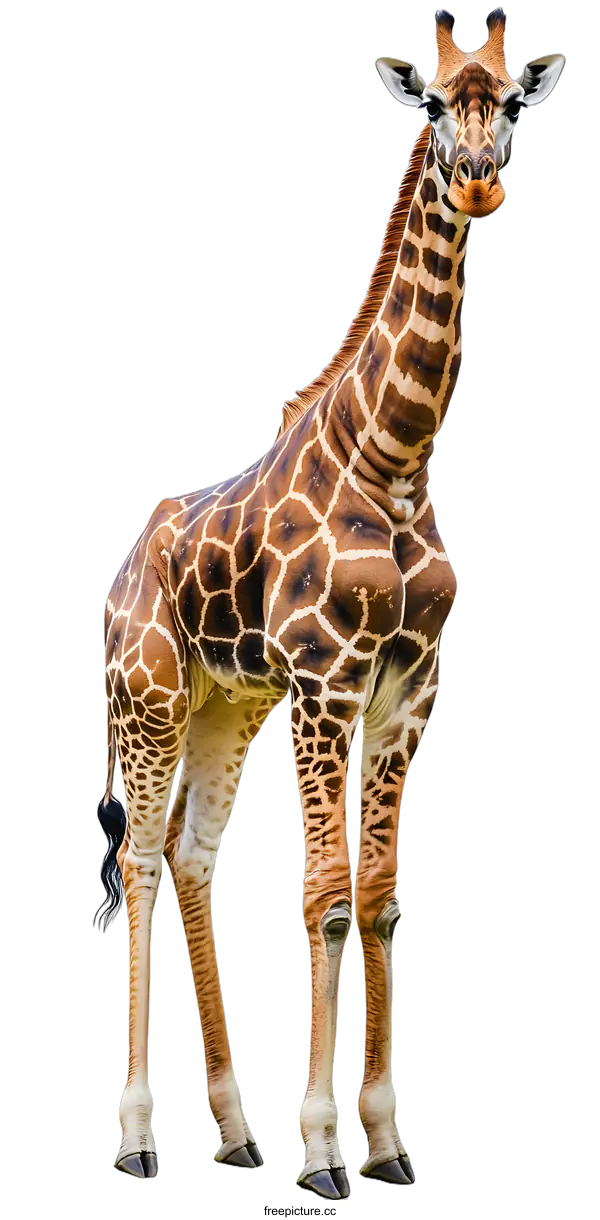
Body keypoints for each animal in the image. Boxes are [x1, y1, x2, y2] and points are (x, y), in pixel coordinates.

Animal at [91, 10, 566, 1199]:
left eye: (512, 104)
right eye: (436, 103)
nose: (480, 180)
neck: (392, 457)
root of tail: (124, 569)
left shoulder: (406, 696)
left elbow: (384, 896)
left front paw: (385, 1145)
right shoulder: (325, 685)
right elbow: (328, 897)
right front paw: (321, 1152)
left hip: (228, 706)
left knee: (191, 858)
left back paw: (234, 1132)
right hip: (151, 701)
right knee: (137, 866)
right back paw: (138, 1141)